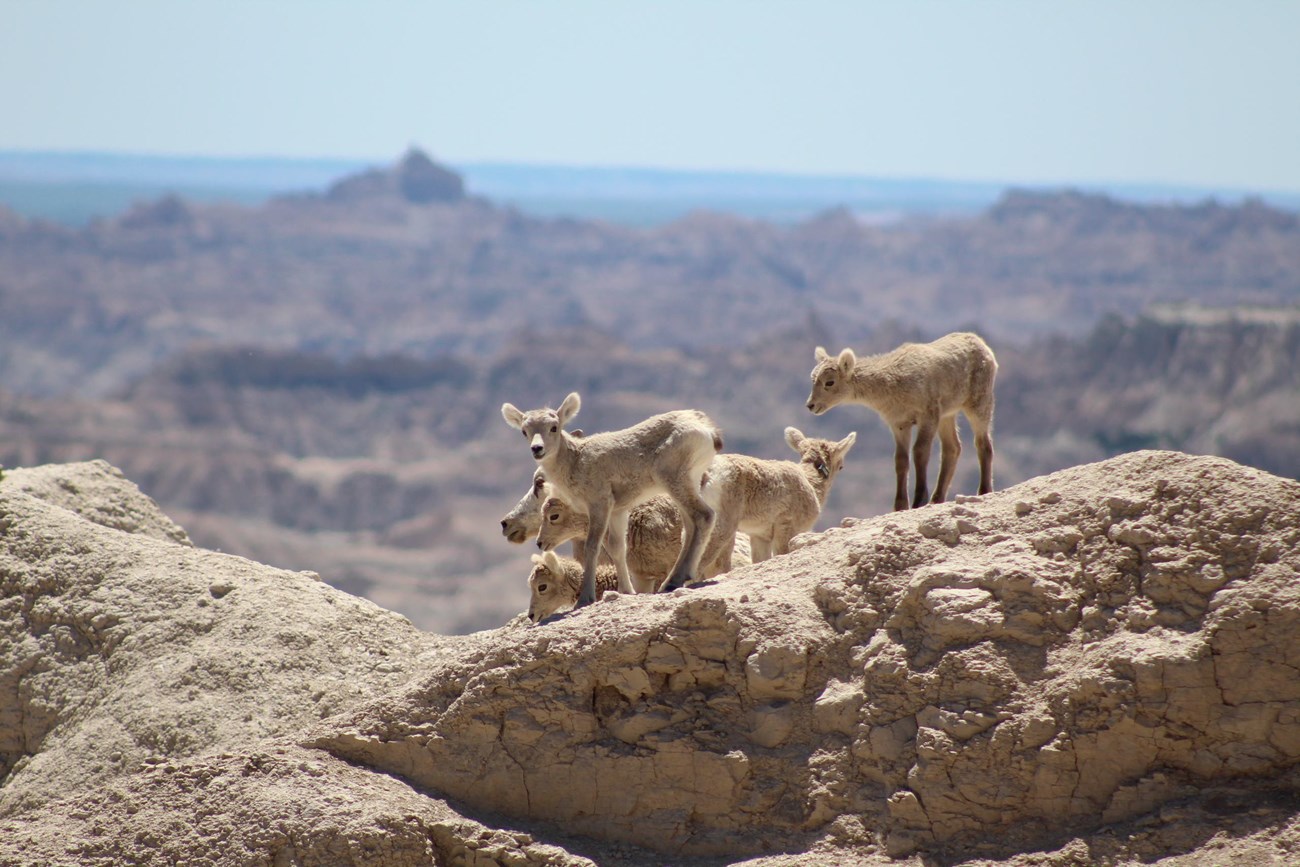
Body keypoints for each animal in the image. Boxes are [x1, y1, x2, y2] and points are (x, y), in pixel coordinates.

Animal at [499, 389, 722, 608]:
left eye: (554, 427)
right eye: (524, 431)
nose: (537, 449)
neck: (576, 461)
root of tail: (707, 429)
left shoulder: (599, 505)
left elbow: (592, 547)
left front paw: (585, 599)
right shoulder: (618, 511)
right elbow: (618, 550)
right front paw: (626, 591)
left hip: (676, 482)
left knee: (704, 516)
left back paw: (677, 580)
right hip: (684, 486)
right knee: (690, 526)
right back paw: (673, 580)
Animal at [800, 330, 993, 509]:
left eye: (829, 382)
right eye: (812, 380)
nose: (811, 405)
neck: (894, 381)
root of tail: (981, 344)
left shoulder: (928, 416)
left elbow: (920, 452)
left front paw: (918, 501)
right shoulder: (899, 424)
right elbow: (901, 460)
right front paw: (899, 506)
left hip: (978, 403)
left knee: (983, 444)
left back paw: (984, 490)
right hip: (948, 416)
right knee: (952, 449)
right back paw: (937, 499)